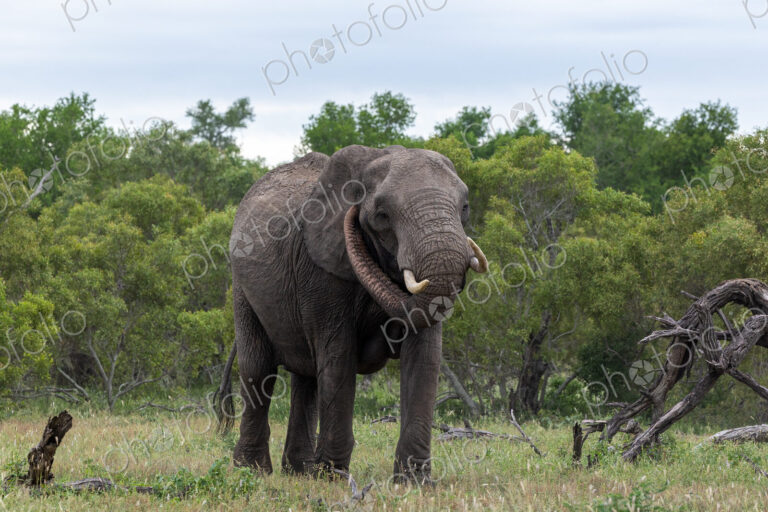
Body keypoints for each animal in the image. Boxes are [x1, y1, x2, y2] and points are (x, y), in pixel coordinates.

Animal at [215, 144, 488, 482]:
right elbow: (338, 358)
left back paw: (299, 472)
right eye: (382, 215)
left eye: (465, 207)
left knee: (305, 378)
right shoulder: (320, 271)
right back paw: (253, 472)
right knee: (258, 370)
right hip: (243, 289)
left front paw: (414, 482)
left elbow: (424, 360)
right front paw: (332, 477)